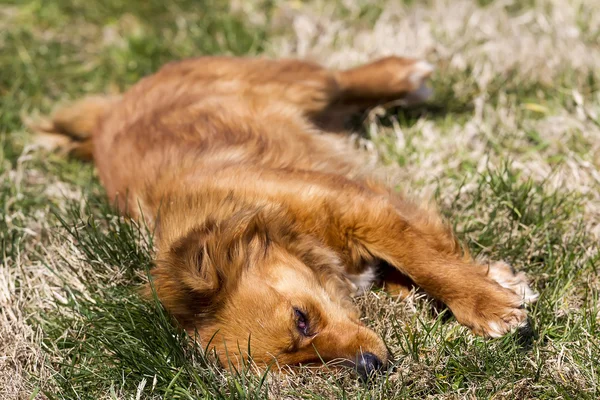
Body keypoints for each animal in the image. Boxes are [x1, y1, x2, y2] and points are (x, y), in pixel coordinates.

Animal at [34, 55, 540, 378]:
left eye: (301, 318)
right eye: (301, 363)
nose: (369, 369)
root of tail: (108, 113)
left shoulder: (360, 207)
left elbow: (427, 263)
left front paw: (487, 305)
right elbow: (412, 269)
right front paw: (493, 281)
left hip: (299, 83)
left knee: (341, 78)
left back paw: (404, 75)